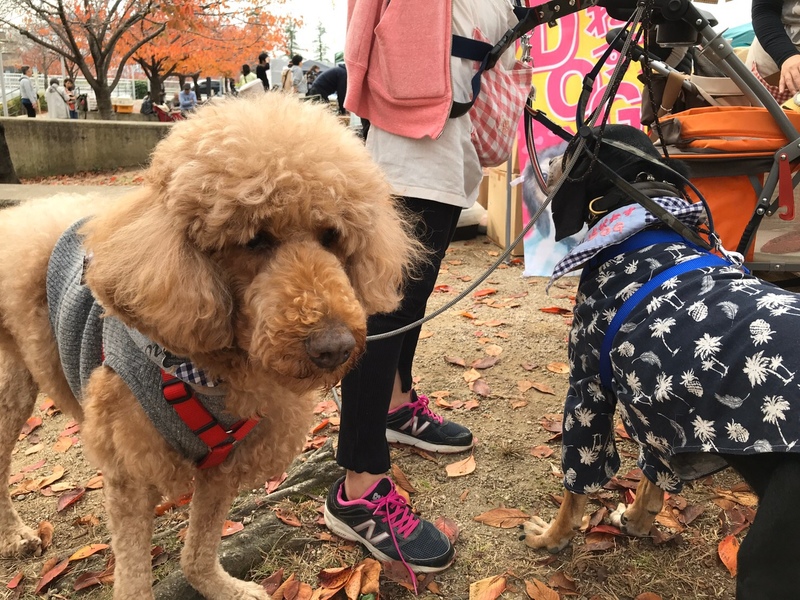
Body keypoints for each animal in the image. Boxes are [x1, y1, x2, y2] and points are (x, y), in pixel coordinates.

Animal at [0, 93, 420, 600]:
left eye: (332, 236)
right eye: (254, 239)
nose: (334, 347)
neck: (211, 373)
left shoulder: (222, 465)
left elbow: (198, 549)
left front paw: (222, 587)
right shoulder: (130, 478)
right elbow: (135, 576)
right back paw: (15, 535)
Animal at [521, 124, 800, 599]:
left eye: (574, 142)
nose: (550, 157)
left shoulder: (588, 390)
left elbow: (576, 488)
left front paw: (550, 539)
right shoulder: (657, 408)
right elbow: (653, 479)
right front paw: (635, 522)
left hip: (766, 560)